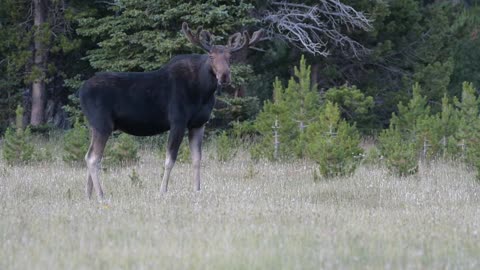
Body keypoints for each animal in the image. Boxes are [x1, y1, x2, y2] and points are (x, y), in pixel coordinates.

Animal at [80, 22, 264, 199]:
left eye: (229, 57)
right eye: (211, 56)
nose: (225, 76)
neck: (203, 92)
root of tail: (79, 92)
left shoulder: (199, 124)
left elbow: (197, 159)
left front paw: (197, 190)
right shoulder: (177, 121)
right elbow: (170, 159)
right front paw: (163, 191)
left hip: (95, 126)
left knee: (90, 155)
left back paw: (89, 196)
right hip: (103, 124)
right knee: (92, 158)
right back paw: (101, 196)